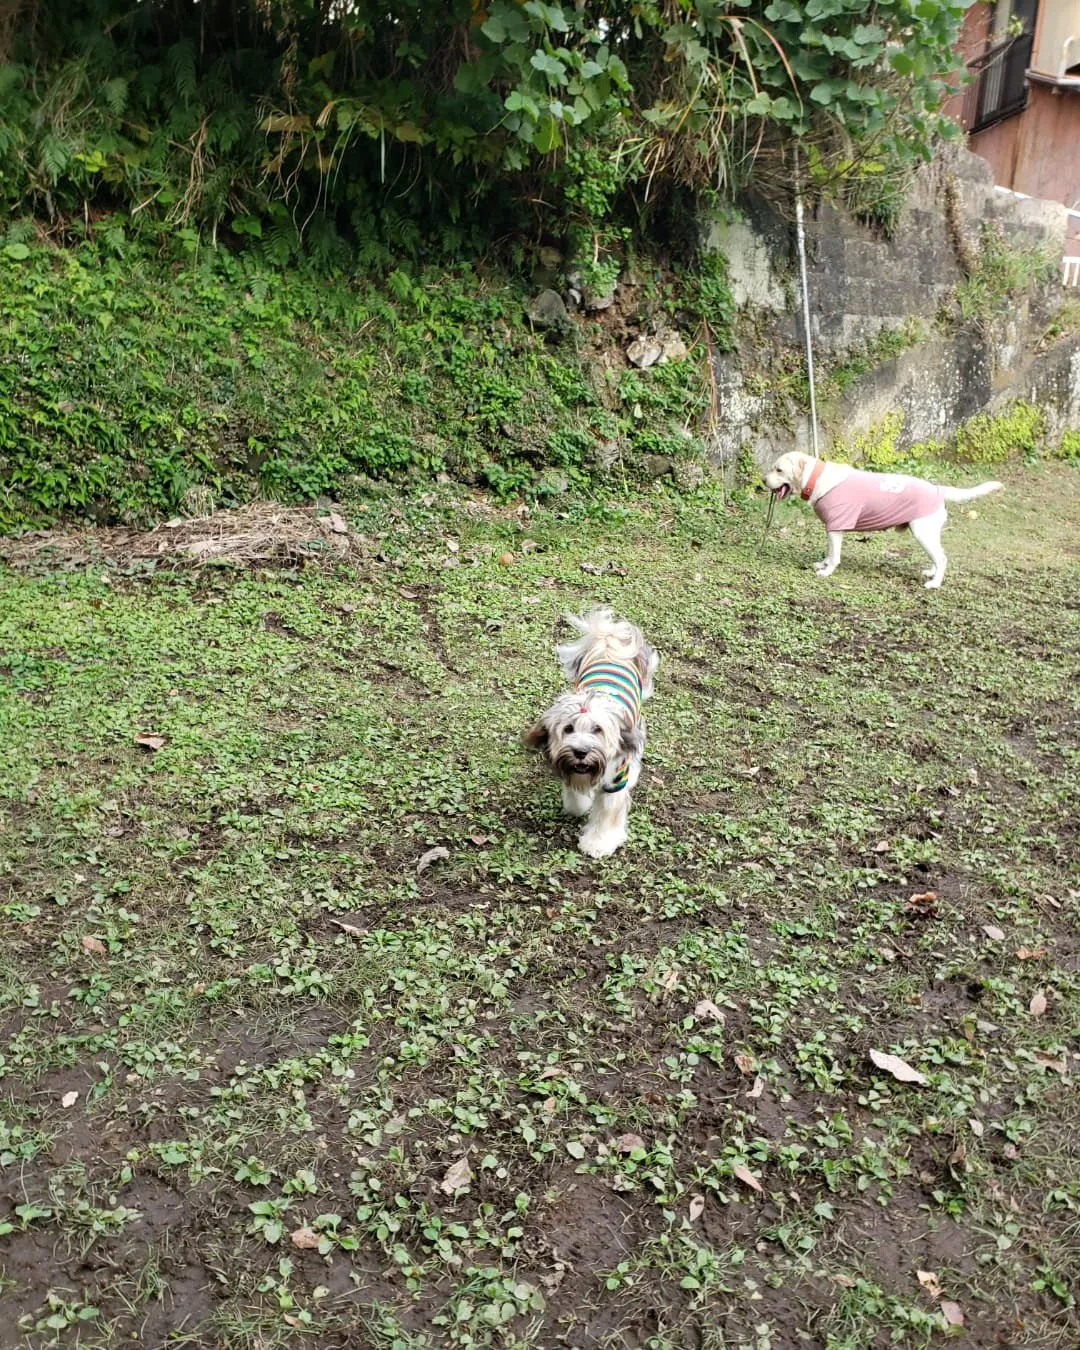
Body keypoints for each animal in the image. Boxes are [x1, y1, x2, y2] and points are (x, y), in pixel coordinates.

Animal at [523, 610, 658, 858]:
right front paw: (582, 804)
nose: (581, 752)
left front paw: (598, 843)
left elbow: (607, 813)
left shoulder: (615, 780)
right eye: (568, 729)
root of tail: (608, 640)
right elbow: (575, 799)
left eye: (598, 729)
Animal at [761, 453, 1004, 591]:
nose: (762, 480)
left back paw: (934, 583)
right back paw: (931, 573)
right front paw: (823, 564)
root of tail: (937, 489)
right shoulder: (832, 528)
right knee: (938, 557)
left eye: (779, 469)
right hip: (927, 535)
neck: (816, 478)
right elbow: (829, 552)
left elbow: (835, 555)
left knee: (942, 558)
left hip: (922, 533)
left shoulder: (836, 526)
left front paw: (827, 571)